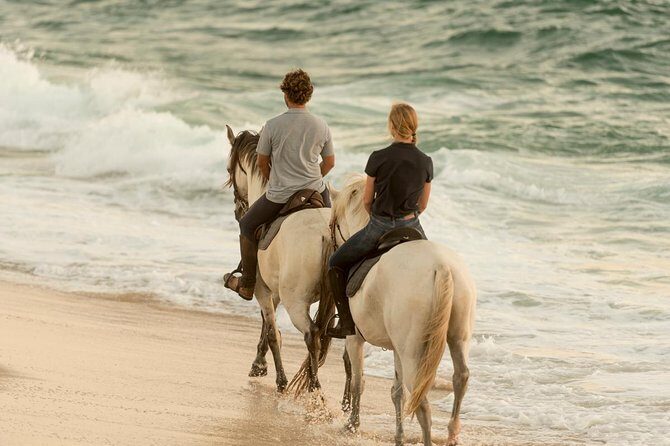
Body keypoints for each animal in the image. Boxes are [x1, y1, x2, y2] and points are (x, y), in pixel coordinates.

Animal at [329, 174, 477, 446]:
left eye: (333, 223)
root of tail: (441, 266)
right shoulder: (396, 347)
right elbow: (396, 392)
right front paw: (398, 436)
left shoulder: (354, 339)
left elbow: (358, 382)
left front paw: (352, 425)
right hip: (458, 335)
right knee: (460, 378)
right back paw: (452, 432)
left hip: (413, 352)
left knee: (421, 400)